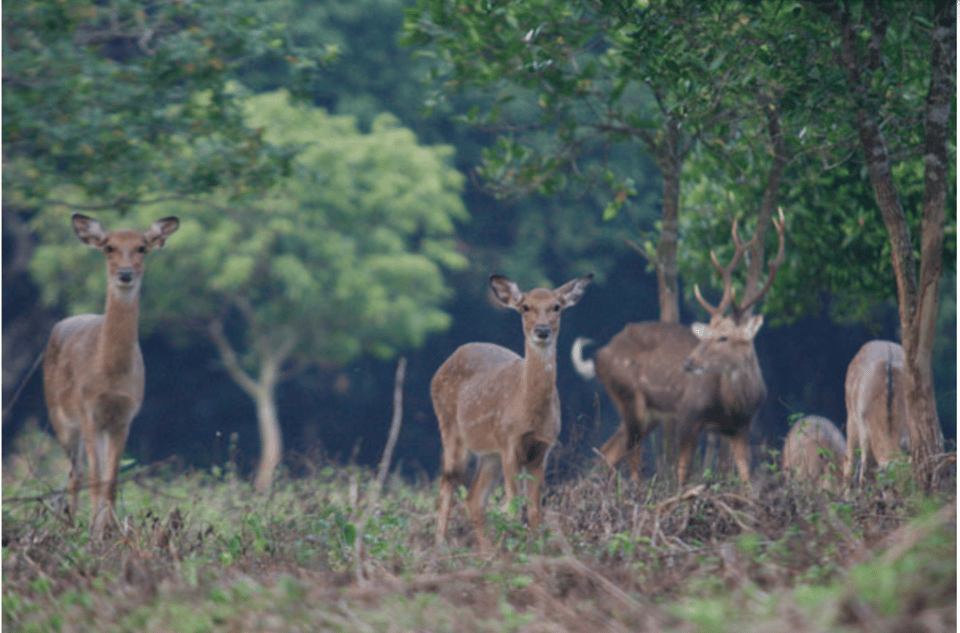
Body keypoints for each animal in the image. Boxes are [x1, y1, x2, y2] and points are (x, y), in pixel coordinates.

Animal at [43, 212, 179, 532]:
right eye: (109, 247)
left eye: (142, 247)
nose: (125, 274)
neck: (109, 374)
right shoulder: (88, 410)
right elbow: (96, 479)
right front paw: (95, 532)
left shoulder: (124, 417)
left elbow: (112, 480)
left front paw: (113, 530)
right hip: (60, 417)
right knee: (76, 474)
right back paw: (71, 522)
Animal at [434, 272, 592, 548]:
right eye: (525, 307)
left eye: (556, 306)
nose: (542, 330)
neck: (530, 413)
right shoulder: (509, 442)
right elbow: (513, 507)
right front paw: (516, 548)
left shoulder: (542, 448)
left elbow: (535, 510)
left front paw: (535, 549)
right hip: (451, 429)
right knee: (448, 482)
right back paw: (440, 547)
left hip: (489, 454)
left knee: (474, 498)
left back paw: (486, 552)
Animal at [568, 210, 780, 486]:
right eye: (707, 334)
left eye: (724, 337)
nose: (690, 362)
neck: (734, 403)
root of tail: (596, 356)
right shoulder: (688, 413)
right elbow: (683, 472)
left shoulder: (741, 428)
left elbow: (746, 478)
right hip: (630, 397)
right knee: (631, 452)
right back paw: (635, 489)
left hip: (648, 413)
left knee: (609, 451)